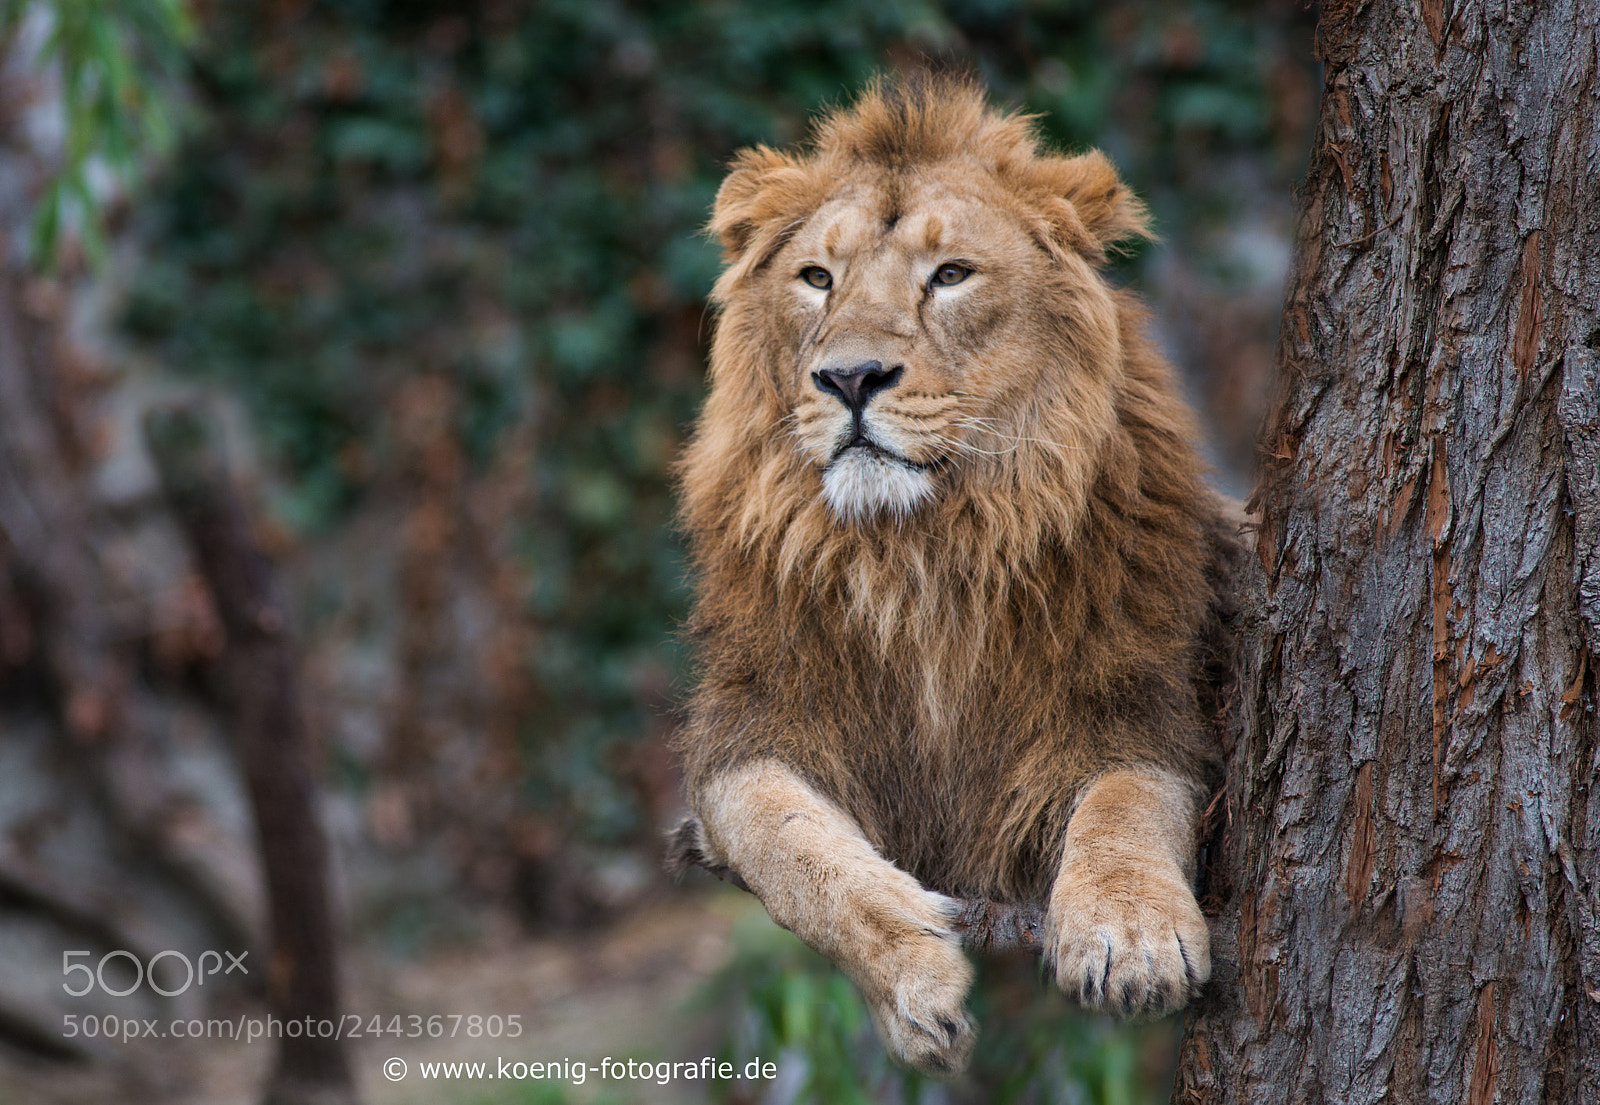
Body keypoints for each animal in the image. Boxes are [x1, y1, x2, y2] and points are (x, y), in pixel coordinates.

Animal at [673, 73, 1239, 1075]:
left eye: (950, 275)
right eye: (817, 278)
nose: (850, 377)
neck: (924, 555)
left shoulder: (1141, 699)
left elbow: (1125, 805)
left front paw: (1130, 937)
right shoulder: (751, 725)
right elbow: (791, 849)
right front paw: (913, 976)